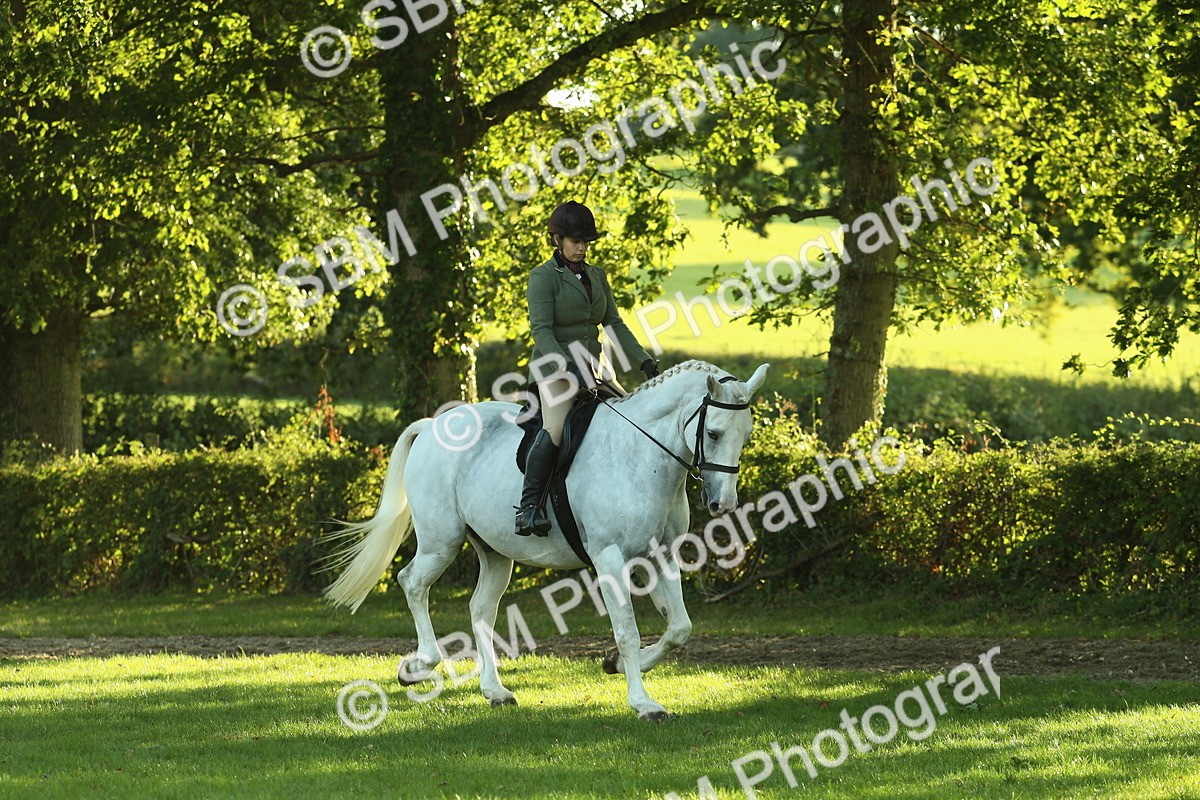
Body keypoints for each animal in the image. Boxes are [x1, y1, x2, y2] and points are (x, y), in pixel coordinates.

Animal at [322, 359, 770, 720]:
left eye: (745, 435)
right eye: (713, 434)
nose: (723, 503)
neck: (640, 455)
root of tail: (433, 426)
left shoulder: (660, 555)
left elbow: (679, 627)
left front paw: (618, 665)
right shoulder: (610, 558)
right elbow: (627, 631)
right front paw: (643, 703)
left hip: (494, 552)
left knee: (481, 609)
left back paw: (494, 690)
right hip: (441, 541)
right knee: (412, 582)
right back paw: (418, 666)